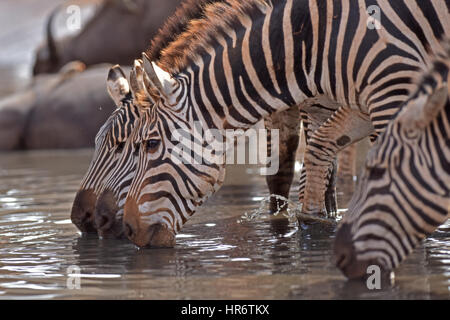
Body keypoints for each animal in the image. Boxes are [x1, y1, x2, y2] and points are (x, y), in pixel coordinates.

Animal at [118, 0, 450, 248]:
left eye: (150, 144)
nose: (129, 230)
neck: (314, 39)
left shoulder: (394, 92)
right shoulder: (364, 104)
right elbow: (319, 148)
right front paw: (313, 224)